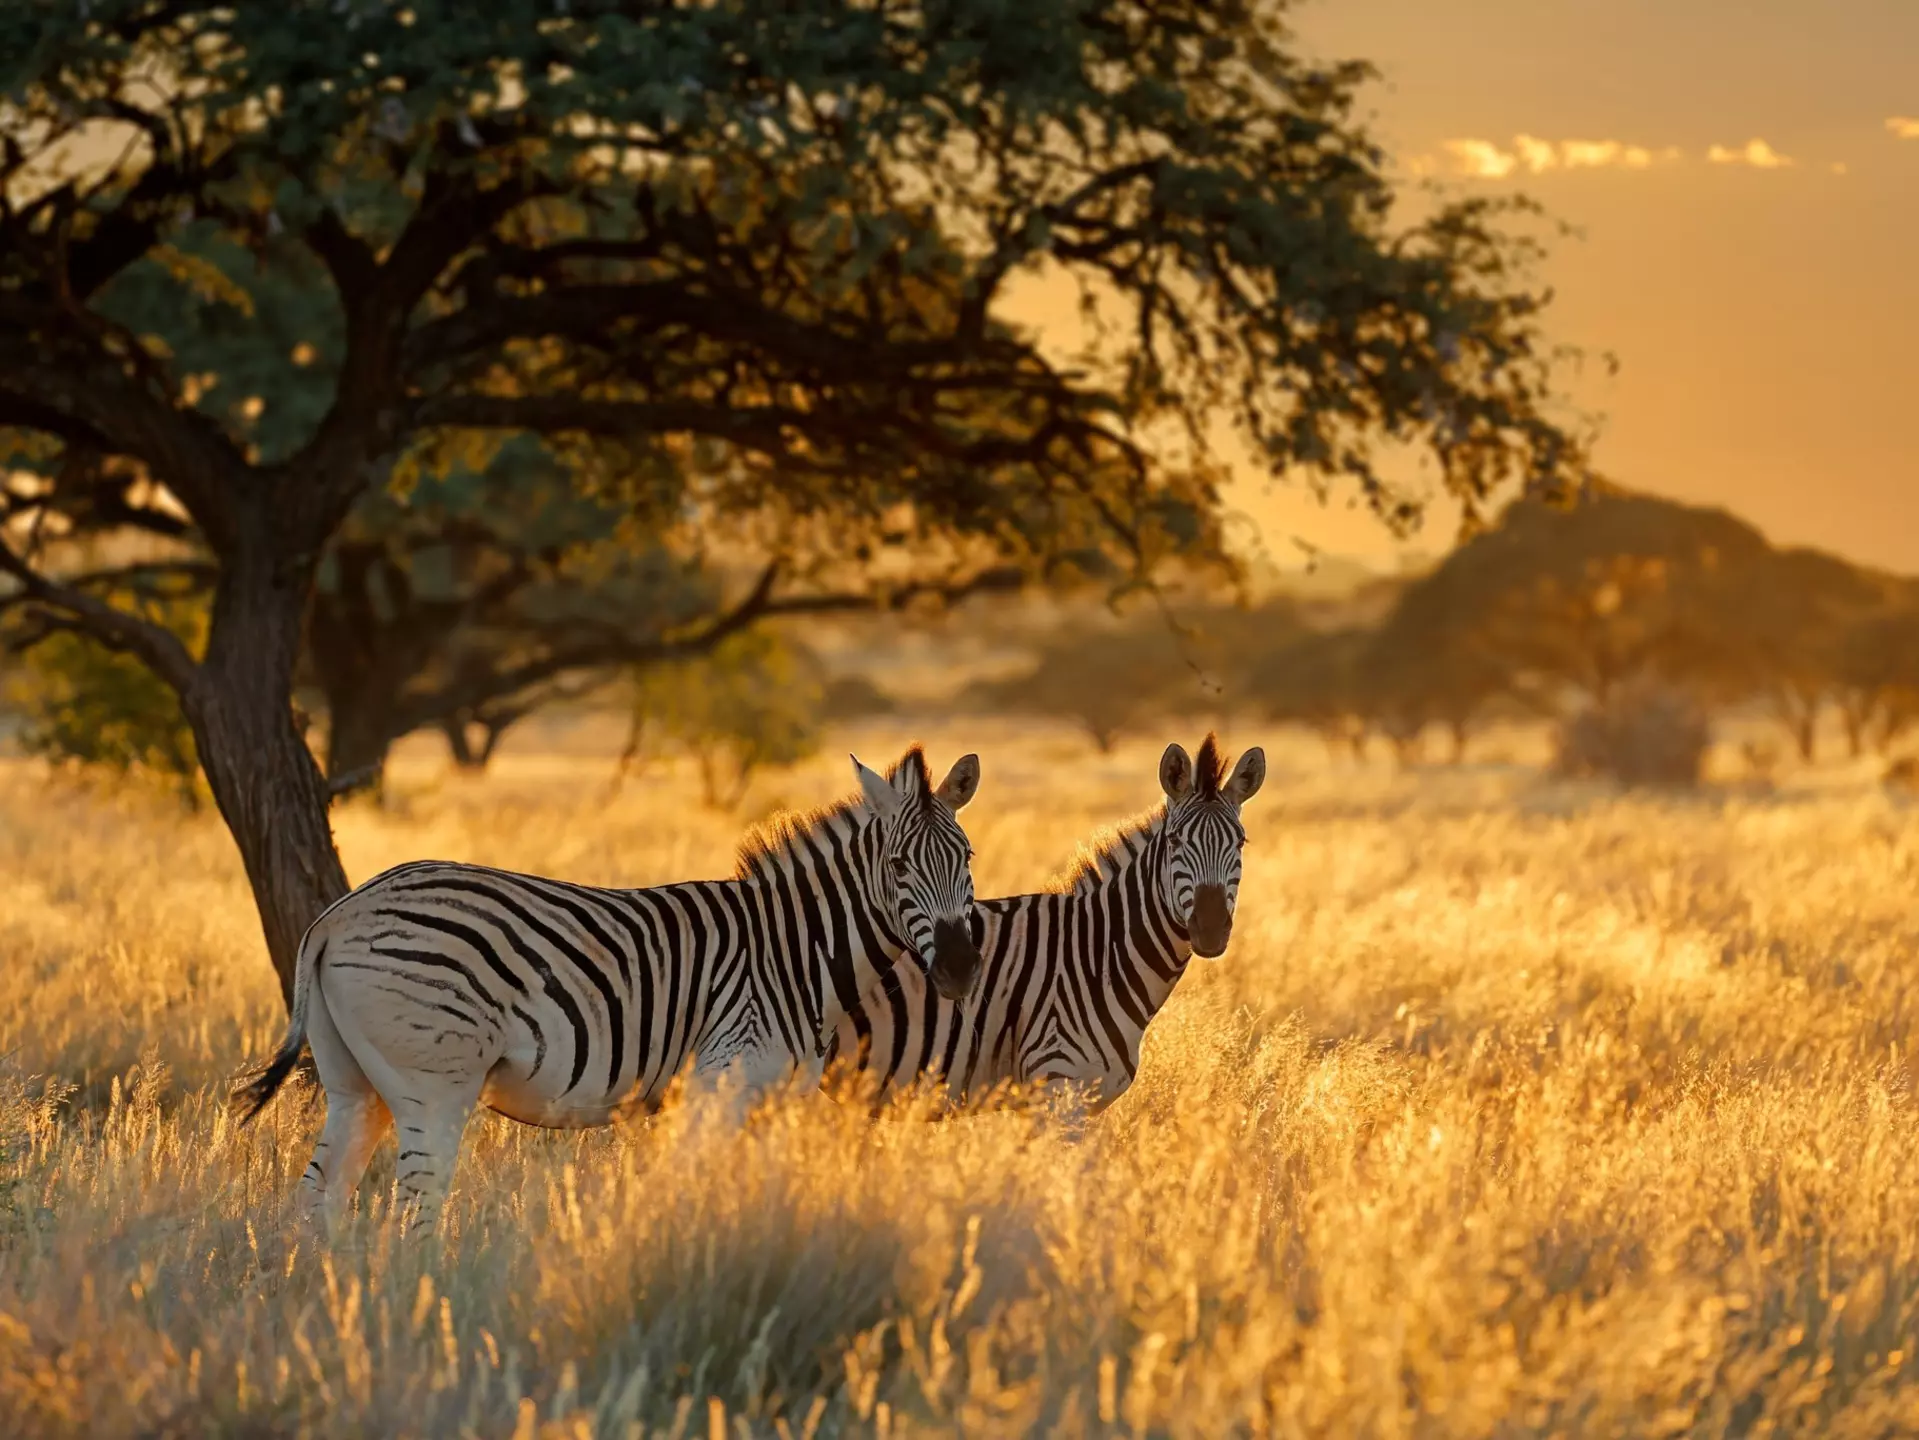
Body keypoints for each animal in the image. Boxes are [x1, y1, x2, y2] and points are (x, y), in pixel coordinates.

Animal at [236, 746, 983, 1229]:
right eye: (897, 866)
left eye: (968, 857)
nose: (958, 969)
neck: (793, 952)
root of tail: (338, 914)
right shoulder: (721, 1081)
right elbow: (693, 1191)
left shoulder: (773, 1101)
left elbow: (756, 1194)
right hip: (434, 1081)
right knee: (416, 1201)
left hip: (354, 1082)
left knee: (318, 1198)